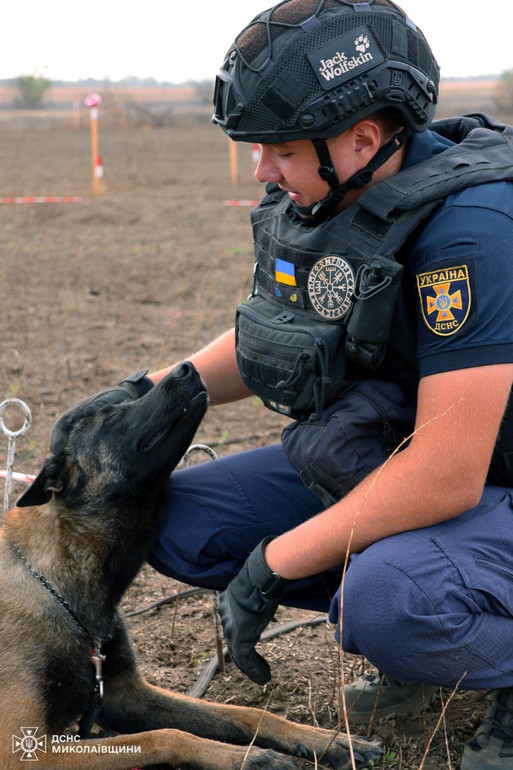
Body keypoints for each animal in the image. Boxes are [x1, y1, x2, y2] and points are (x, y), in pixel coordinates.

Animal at [0, 364, 380, 764]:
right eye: (110, 417)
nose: (187, 367)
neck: (56, 580)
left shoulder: (125, 694)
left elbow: (247, 712)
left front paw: (328, 740)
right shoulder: (23, 750)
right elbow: (167, 736)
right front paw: (250, 757)